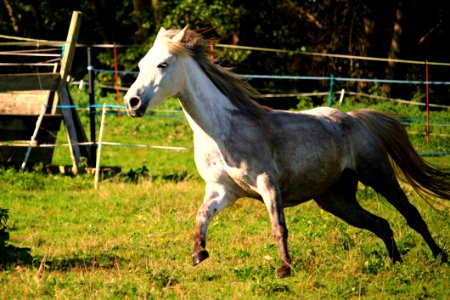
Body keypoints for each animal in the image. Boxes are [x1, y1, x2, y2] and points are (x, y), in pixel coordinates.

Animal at [123, 27, 450, 278]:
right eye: (140, 65)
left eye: (163, 64)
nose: (132, 103)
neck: (221, 130)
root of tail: (356, 119)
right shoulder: (221, 190)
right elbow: (201, 217)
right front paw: (198, 254)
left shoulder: (267, 182)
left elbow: (278, 226)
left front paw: (284, 268)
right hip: (336, 199)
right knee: (381, 224)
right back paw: (396, 263)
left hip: (379, 175)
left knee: (411, 214)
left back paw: (439, 257)